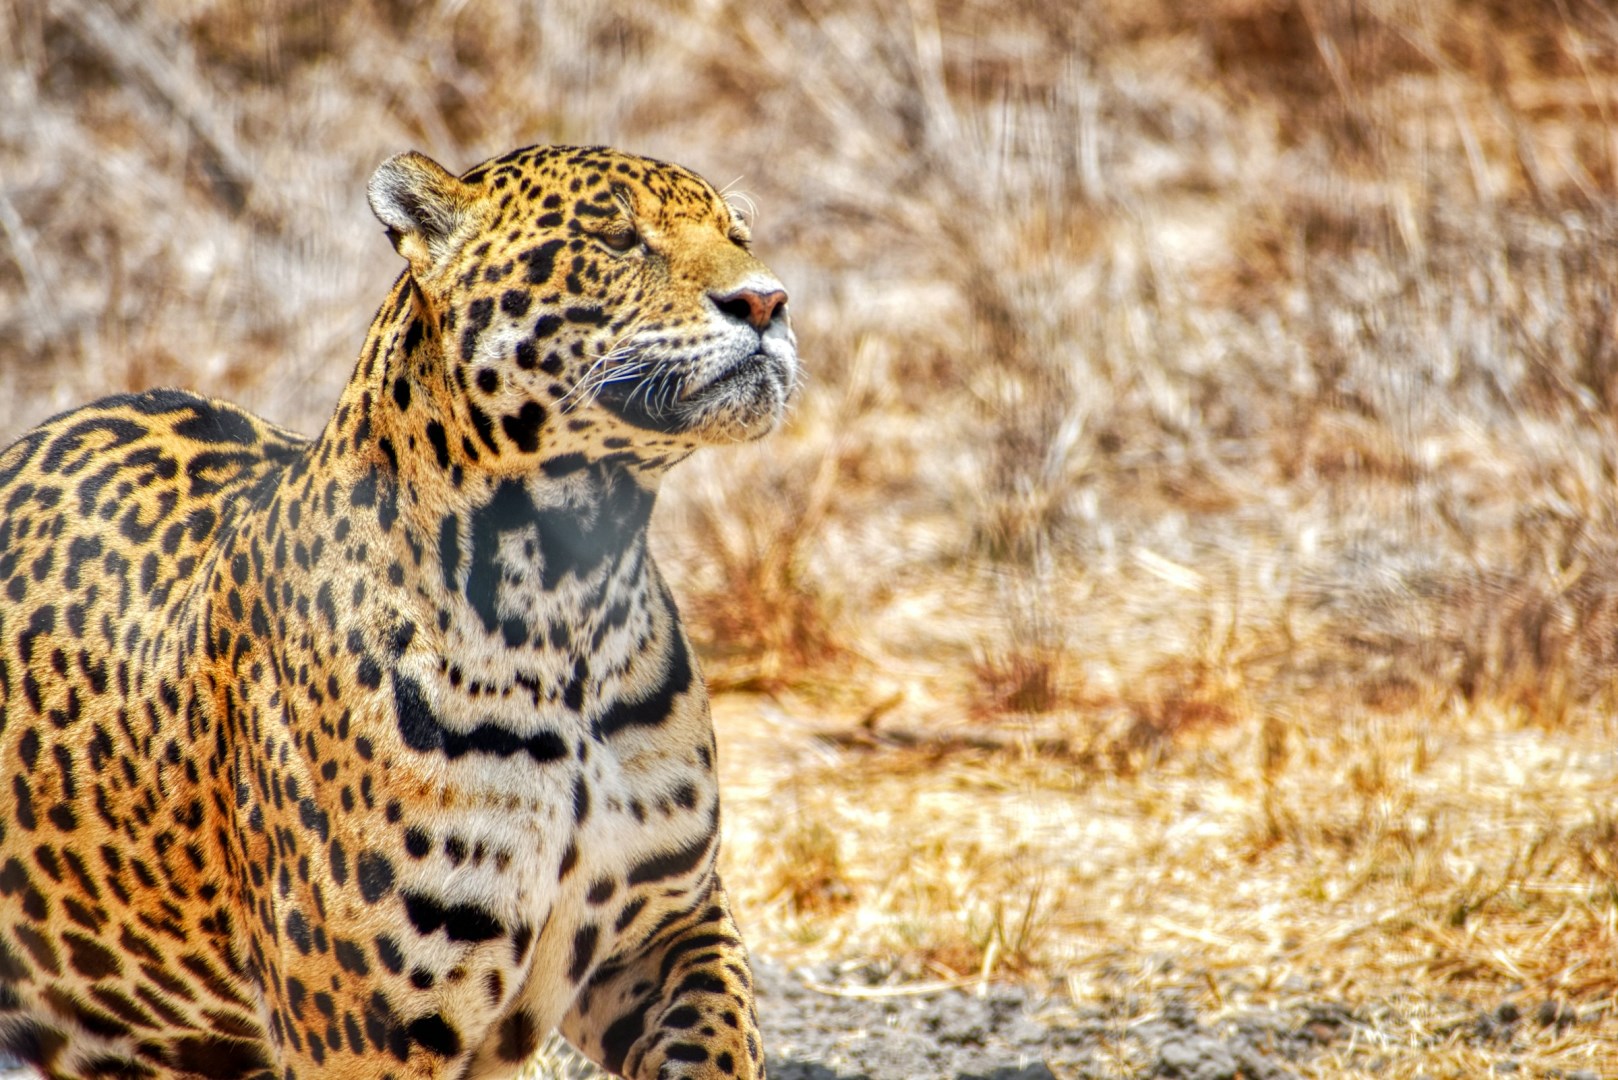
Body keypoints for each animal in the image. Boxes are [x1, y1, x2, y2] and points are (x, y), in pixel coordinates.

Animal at [0, 142, 797, 1079]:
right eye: (615, 237)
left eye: (737, 233)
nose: (767, 301)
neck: (574, 591)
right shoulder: (368, 1029)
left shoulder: (670, 925)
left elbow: (719, 1034)